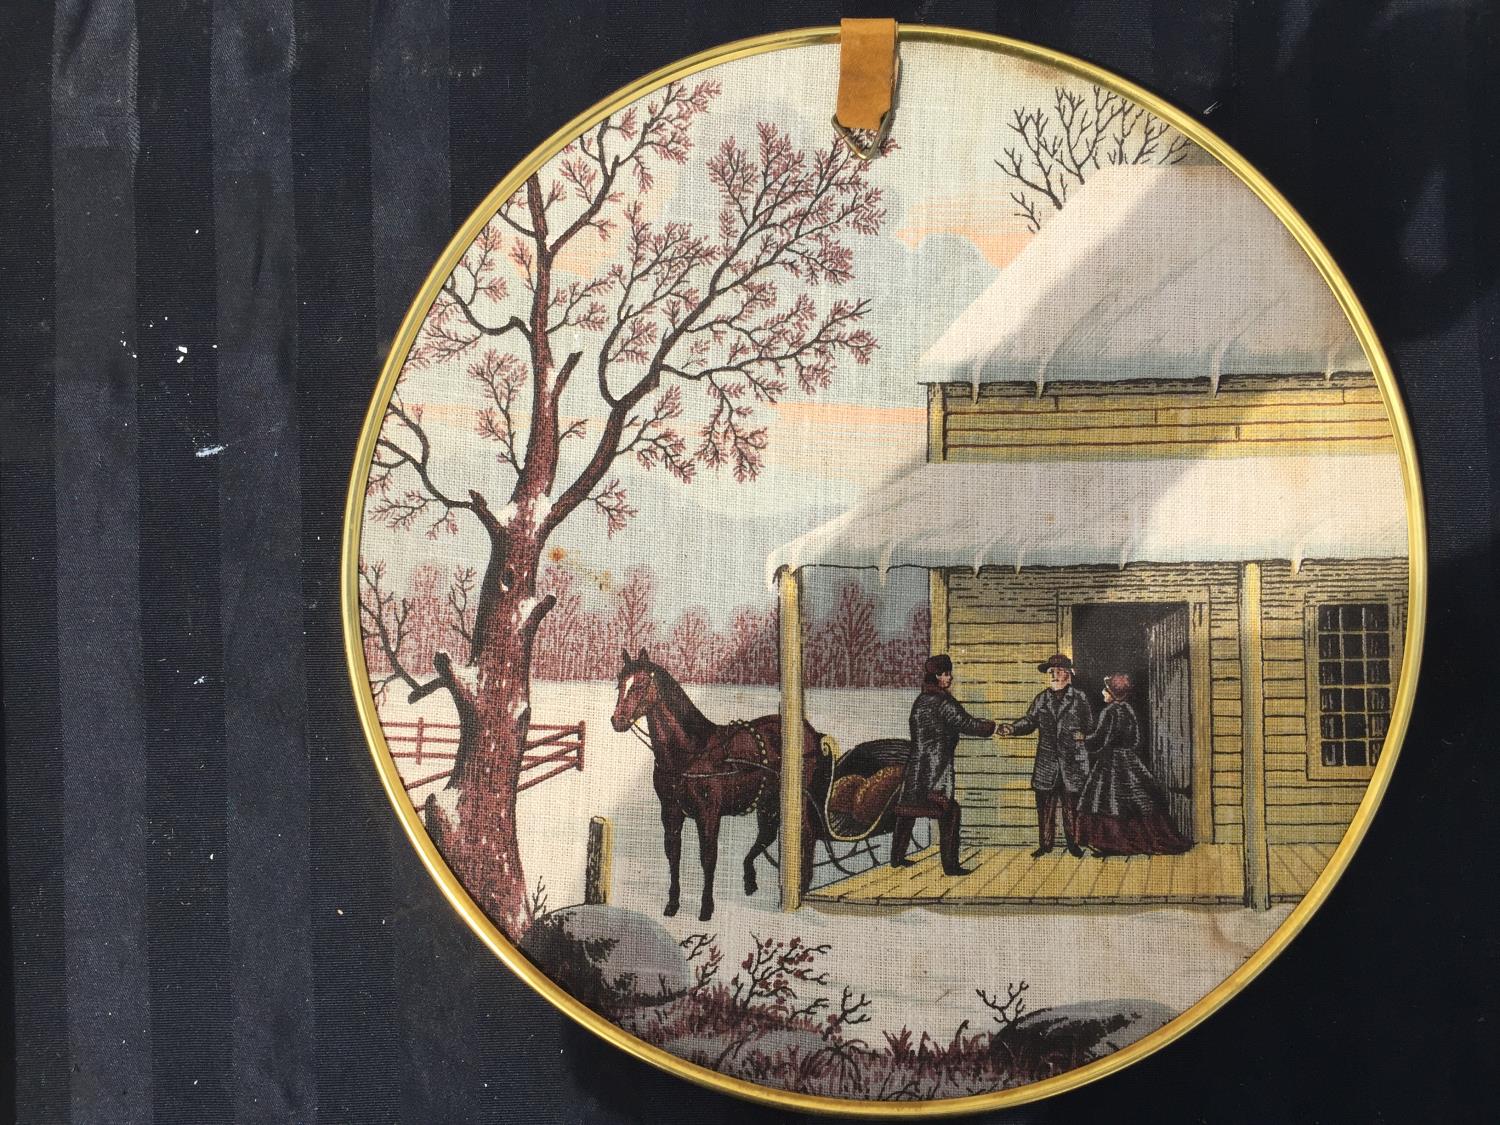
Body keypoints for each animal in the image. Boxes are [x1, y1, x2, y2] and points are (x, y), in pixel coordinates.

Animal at [609, 648, 822, 922]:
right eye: (619, 685)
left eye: (639, 685)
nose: (617, 721)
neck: (691, 752)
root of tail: (809, 731)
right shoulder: (670, 812)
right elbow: (673, 855)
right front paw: (672, 903)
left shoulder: (708, 814)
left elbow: (708, 858)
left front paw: (706, 908)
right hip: (768, 801)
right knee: (767, 834)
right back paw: (751, 879)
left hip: (796, 798)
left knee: (805, 832)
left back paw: (801, 887)